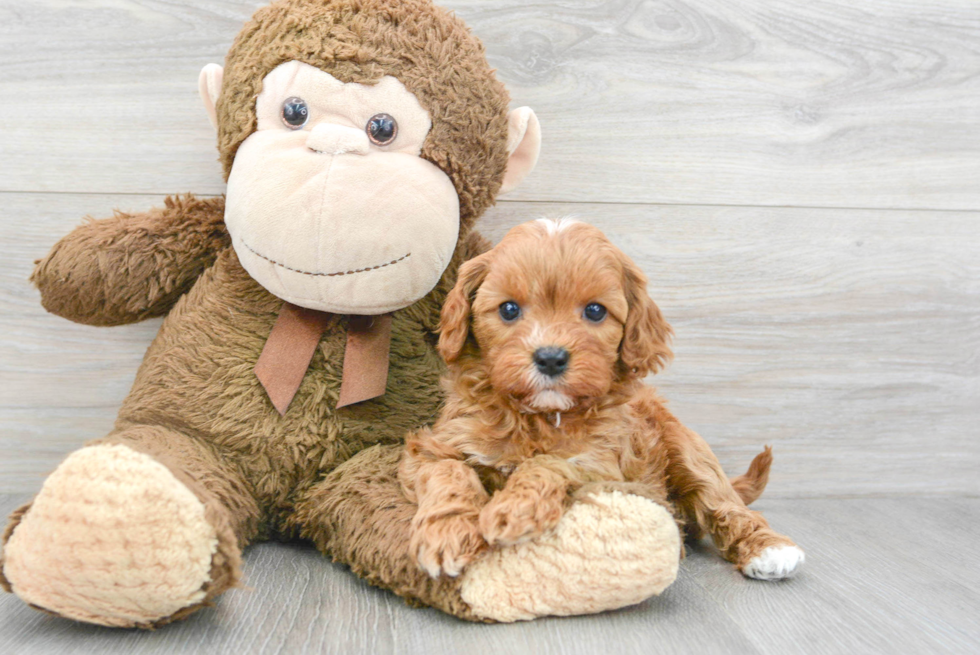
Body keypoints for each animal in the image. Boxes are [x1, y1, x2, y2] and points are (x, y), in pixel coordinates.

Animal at [398, 218, 804, 580]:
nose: (550, 357)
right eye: (509, 309)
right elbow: (448, 471)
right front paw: (447, 534)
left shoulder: (604, 467)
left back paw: (770, 549)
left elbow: (549, 463)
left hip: (688, 450)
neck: (539, 416)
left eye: (595, 311)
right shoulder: (433, 445)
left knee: (723, 502)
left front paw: (513, 509)